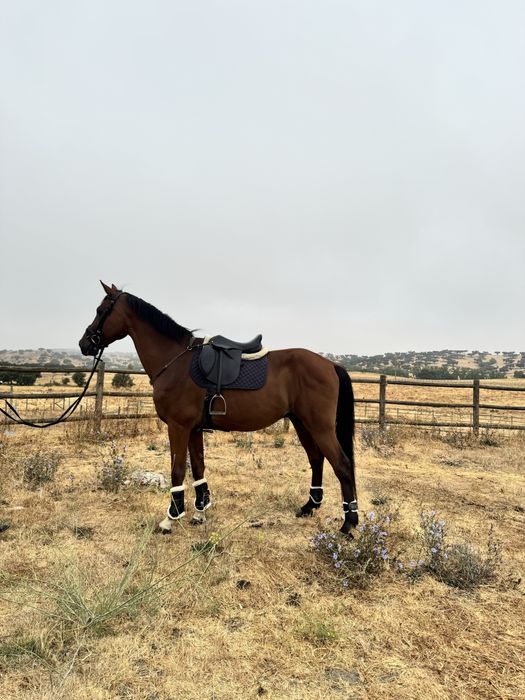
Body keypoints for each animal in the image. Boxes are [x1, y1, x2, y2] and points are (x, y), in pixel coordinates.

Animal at [79, 282, 359, 535]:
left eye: (101, 310)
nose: (84, 343)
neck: (175, 361)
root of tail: (331, 365)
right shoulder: (193, 429)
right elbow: (198, 468)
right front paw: (200, 513)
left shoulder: (178, 427)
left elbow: (177, 471)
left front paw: (171, 518)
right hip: (302, 423)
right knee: (316, 459)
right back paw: (310, 506)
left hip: (320, 426)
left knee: (342, 466)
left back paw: (349, 523)